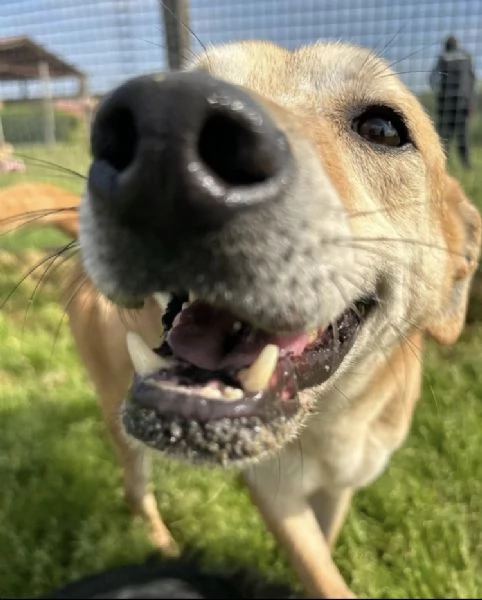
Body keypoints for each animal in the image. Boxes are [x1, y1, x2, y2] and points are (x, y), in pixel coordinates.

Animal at [5, 39, 480, 596]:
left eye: (383, 128)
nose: (166, 128)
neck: (329, 418)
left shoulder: (336, 490)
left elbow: (326, 546)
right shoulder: (276, 495)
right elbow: (324, 576)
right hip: (118, 415)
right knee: (134, 489)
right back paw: (162, 544)